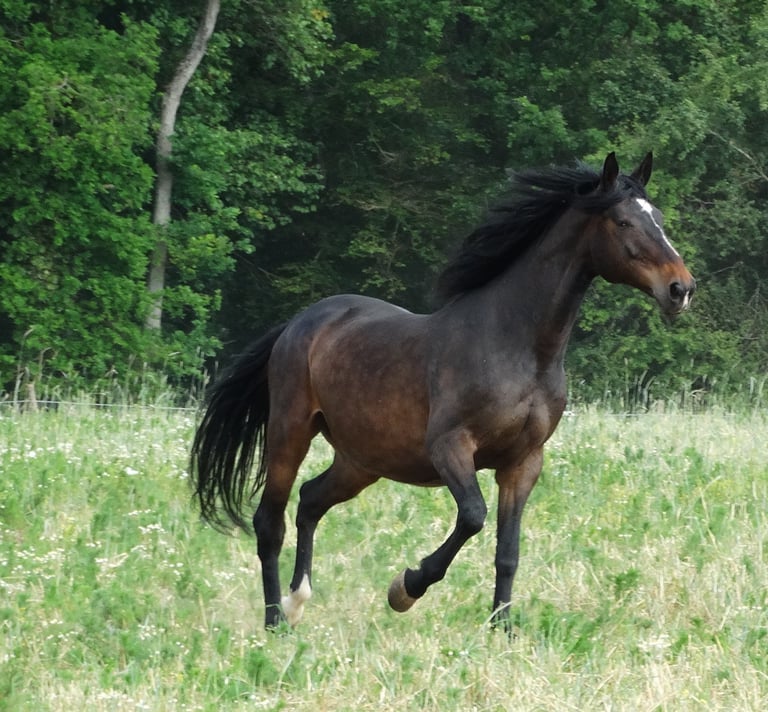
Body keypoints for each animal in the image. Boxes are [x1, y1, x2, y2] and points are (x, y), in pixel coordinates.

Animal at [191, 152, 695, 631]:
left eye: (659, 217)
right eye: (623, 221)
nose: (681, 289)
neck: (517, 345)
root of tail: (299, 323)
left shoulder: (523, 463)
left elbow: (507, 551)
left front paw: (503, 629)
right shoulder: (450, 446)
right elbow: (472, 516)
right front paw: (405, 588)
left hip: (362, 461)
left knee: (311, 500)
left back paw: (298, 602)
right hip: (290, 432)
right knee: (269, 522)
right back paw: (276, 620)